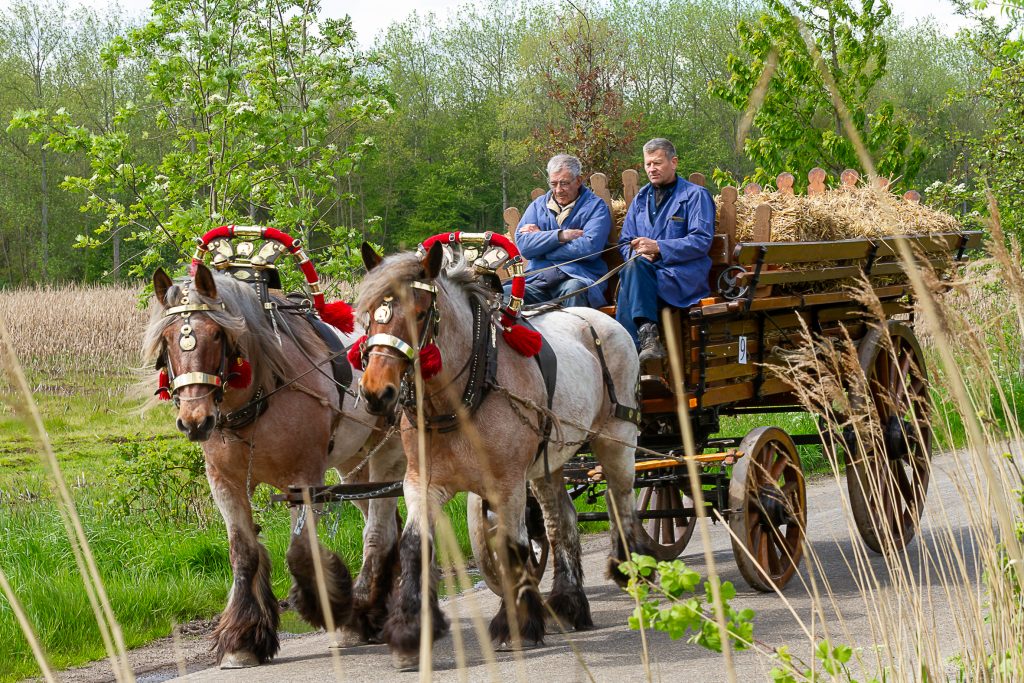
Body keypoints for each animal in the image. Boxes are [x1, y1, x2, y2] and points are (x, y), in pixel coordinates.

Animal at [143, 259, 403, 663]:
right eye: (168, 339)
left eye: (216, 334)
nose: (194, 420)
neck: (258, 396)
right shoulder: (225, 481)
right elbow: (243, 551)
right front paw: (242, 639)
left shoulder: (305, 476)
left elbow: (300, 551)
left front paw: (329, 606)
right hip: (353, 463)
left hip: (388, 447)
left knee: (380, 528)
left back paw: (365, 611)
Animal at [356, 237, 651, 671]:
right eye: (369, 316)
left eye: (421, 313)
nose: (377, 393)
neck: (464, 396)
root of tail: (601, 319)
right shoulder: (422, 482)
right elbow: (414, 547)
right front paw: (409, 636)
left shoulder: (508, 483)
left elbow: (513, 548)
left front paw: (516, 625)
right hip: (547, 462)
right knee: (561, 522)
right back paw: (568, 603)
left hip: (616, 438)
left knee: (622, 501)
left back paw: (631, 571)